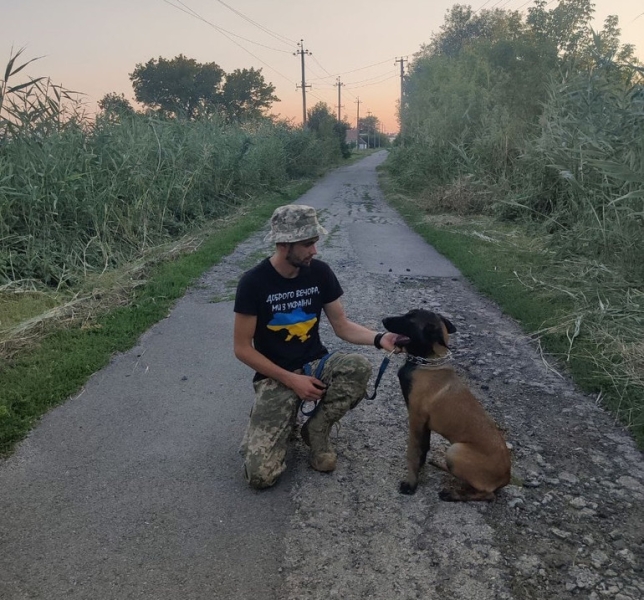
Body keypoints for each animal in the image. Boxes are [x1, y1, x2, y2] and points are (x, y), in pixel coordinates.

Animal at [380, 310, 510, 502]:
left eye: (410, 320)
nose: (384, 320)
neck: (427, 362)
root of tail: (507, 477)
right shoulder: (424, 424)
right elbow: (423, 448)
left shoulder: (416, 418)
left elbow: (413, 452)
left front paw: (411, 484)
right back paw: (441, 465)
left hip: (455, 451)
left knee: (488, 494)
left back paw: (453, 494)